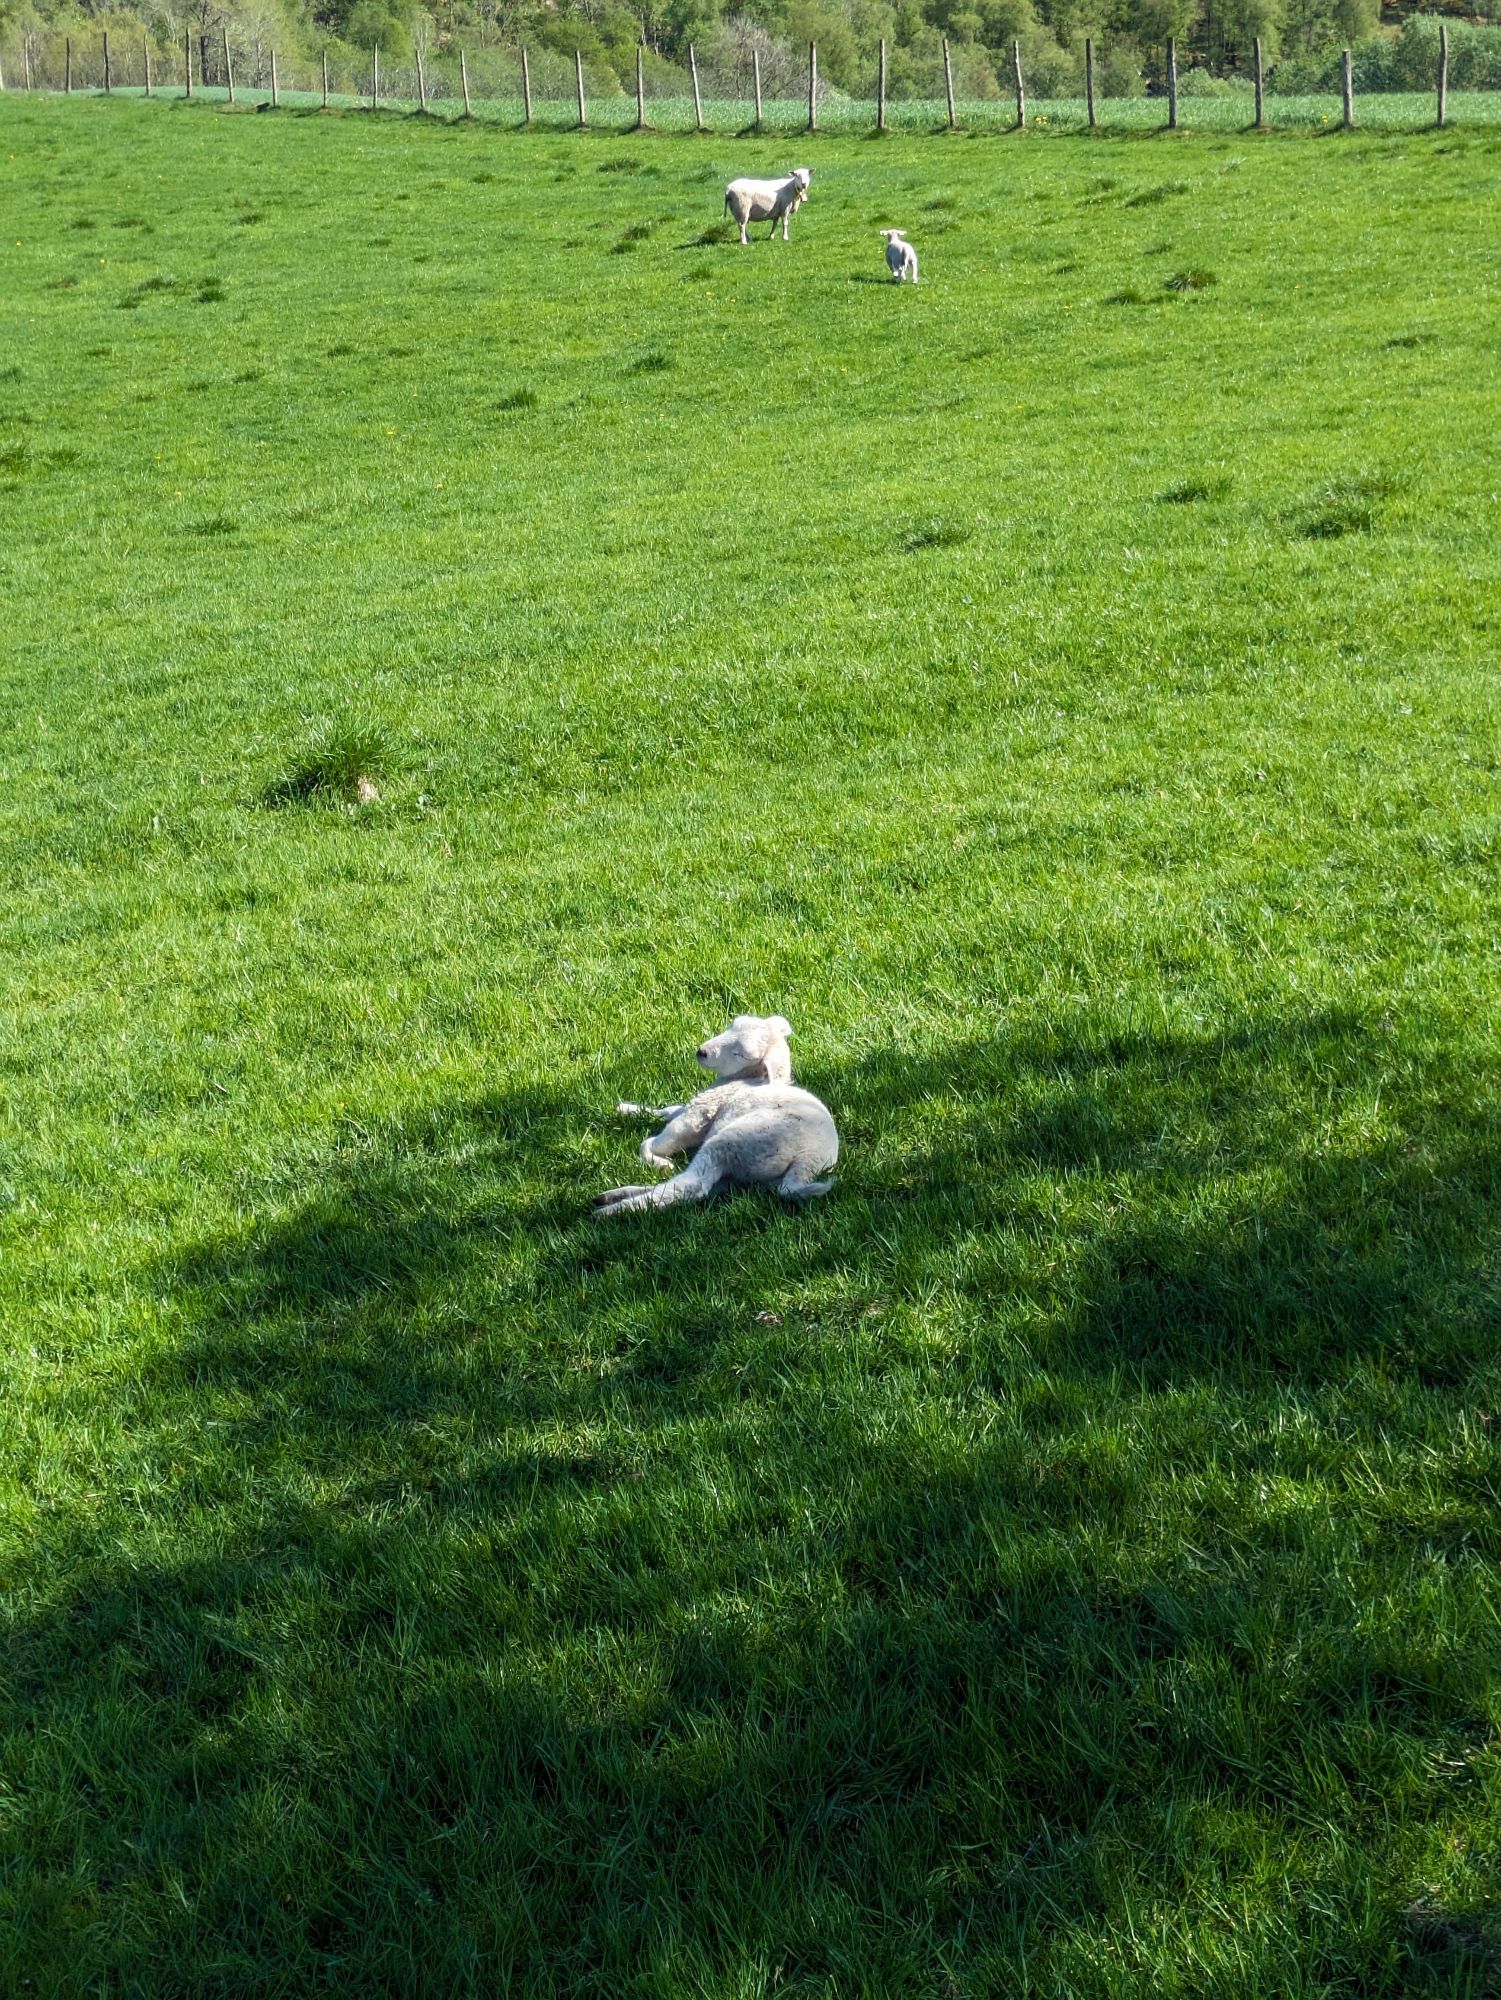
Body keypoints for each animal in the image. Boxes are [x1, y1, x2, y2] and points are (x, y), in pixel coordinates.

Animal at [600, 1008, 840, 1208]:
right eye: (732, 1025)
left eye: (740, 1054)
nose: (702, 1052)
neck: (750, 1078)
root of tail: (808, 1157)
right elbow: (668, 1110)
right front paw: (626, 1108)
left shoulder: (699, 1112)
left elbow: (655, 1139)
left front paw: (659, 1161)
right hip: (746, 1175)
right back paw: (612, 1196)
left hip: (735, 1142)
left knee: (692, 1186)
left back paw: (613, 1210)